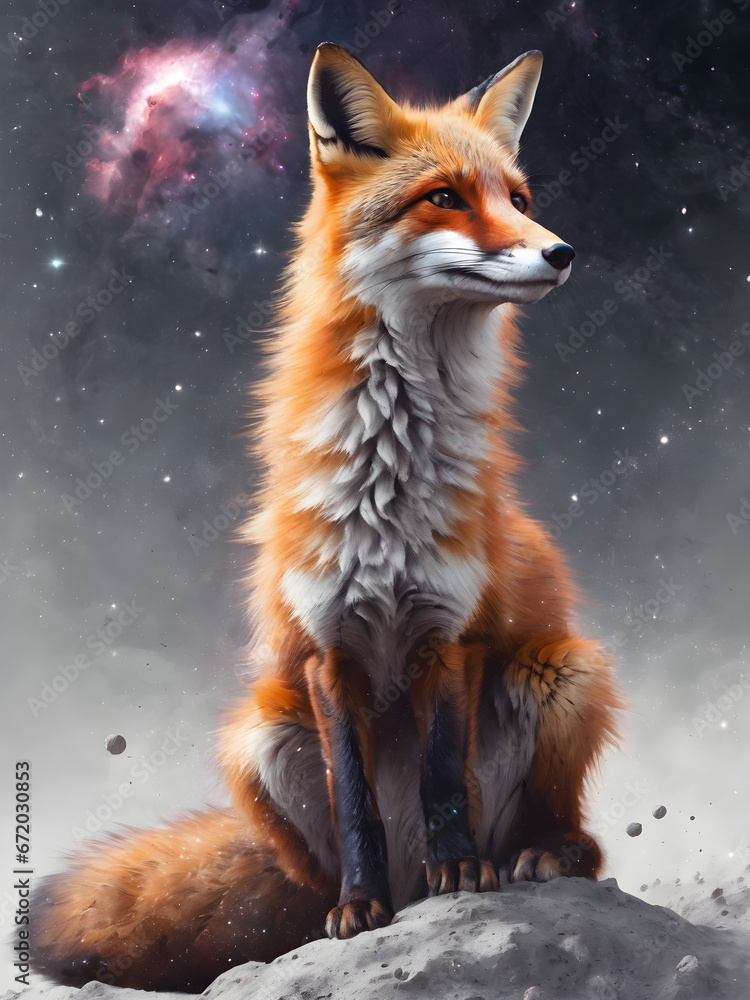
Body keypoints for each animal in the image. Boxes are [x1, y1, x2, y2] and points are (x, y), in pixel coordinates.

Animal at [32, 43, 622, 992]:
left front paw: (465, 873)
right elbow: (356, 803)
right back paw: (358, 905)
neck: (389, 477)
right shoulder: (323, 651)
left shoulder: (453, 633)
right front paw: (359, 908)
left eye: (520, 199)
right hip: (261, 733)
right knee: (310, 878)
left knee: (574, 835)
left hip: (564, 669)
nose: (562, 253)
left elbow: (442, 778)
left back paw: (534, 856)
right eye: (445, 197)